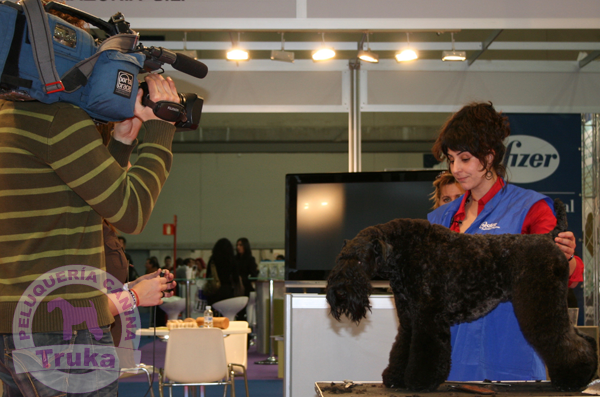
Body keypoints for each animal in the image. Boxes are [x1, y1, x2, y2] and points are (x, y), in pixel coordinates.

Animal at [326, 200, 596, 392]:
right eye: (340, 257)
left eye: (359, 260)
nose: (338, 292)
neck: (404, 253)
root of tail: (549, 237)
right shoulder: (409, 318)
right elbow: (402, 347)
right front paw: (395, 377)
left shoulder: (428, 318)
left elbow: (425, 350)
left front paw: (420, 381)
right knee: (578, 336)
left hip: (540, 305)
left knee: (563, 340)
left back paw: (574, 378)